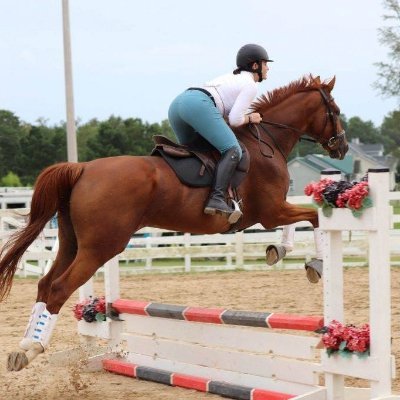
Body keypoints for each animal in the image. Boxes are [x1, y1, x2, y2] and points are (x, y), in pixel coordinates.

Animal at [0, 73, 346, 370]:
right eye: (336, 110)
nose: (341, 147)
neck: (267, 142)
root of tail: (82, 168)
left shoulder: (276, 210)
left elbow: (303, 220)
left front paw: (280, 251)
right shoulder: (272, 211)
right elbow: (312, 218)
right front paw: (315, 264)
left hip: (72, 243)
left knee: (46, 284)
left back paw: (23, 348)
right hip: (101, 247)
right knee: (59, 287)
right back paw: (34, 348)